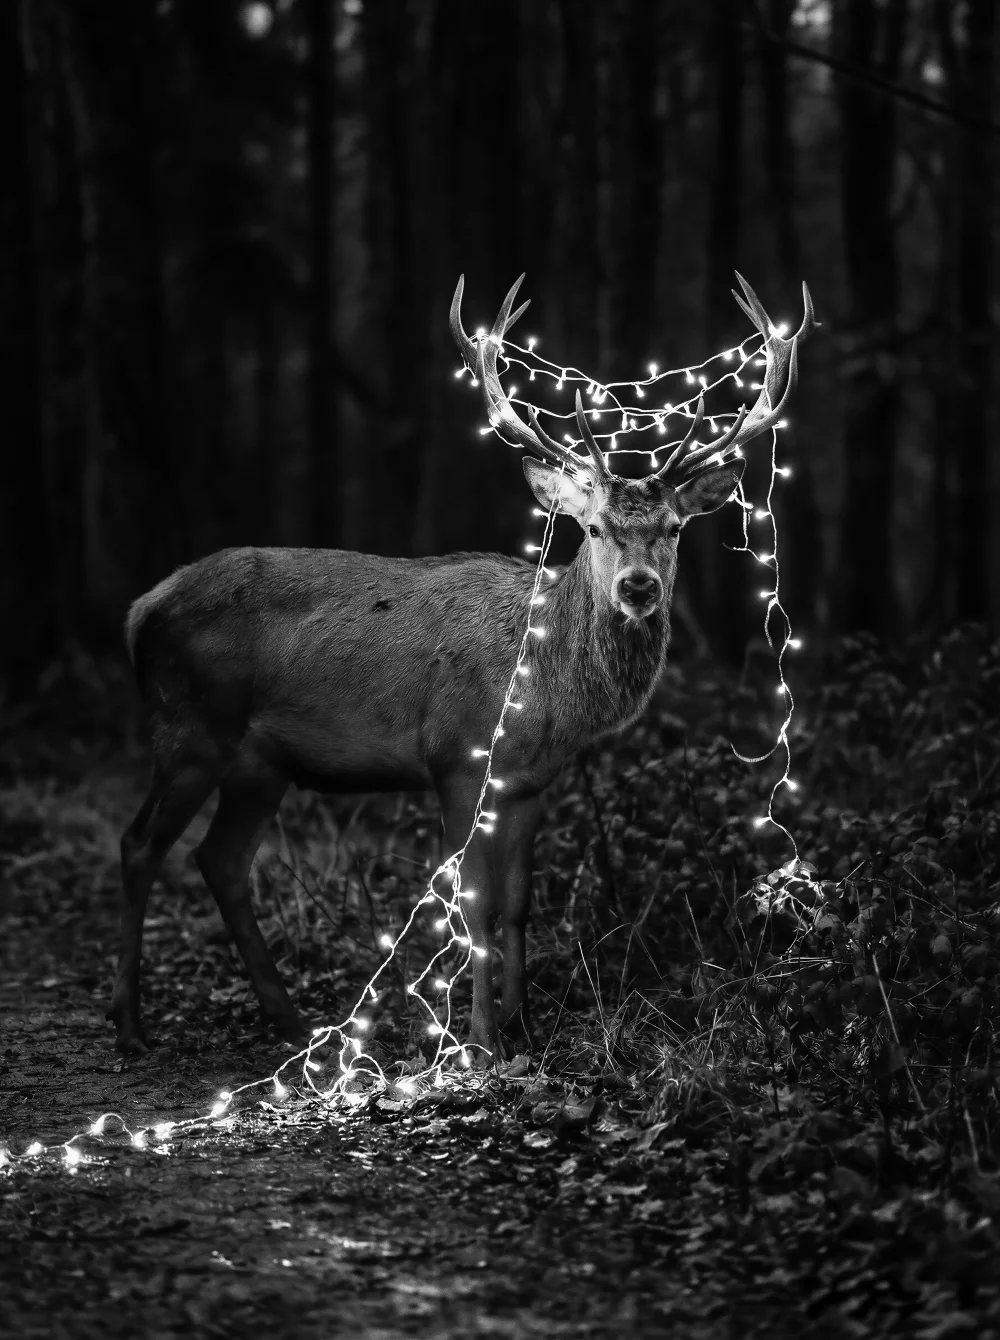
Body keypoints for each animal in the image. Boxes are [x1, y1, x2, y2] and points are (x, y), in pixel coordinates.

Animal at [108, 272, 814, 1063]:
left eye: (672, 528)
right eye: (594, 527)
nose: (639, 587)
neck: (539, 692)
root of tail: (142, 609)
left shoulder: (529, 783)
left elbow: (517, 907)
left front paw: (523, 1023)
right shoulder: (457, 760)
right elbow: (473, 909)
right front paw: (478, 1042)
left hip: (262, 761)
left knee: (220, 860)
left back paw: (290, 1022)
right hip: (191, 725)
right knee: (140, 845)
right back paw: (131, 1025)